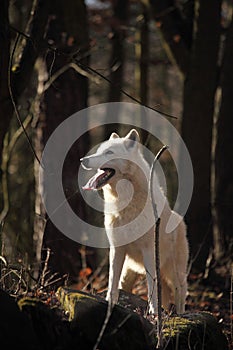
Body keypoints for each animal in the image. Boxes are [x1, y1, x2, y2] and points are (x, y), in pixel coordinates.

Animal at [81, 129, 188, 314]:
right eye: (99, 151)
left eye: (109, 152)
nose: (83, 160)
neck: (124, 203)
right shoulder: (116, 249)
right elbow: (112, 281)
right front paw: (109, 302)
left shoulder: (149, 251)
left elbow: (151, 284)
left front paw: (153, 313)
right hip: (129, 272)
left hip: (174, 273)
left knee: (180, 292)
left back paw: (180, 315)